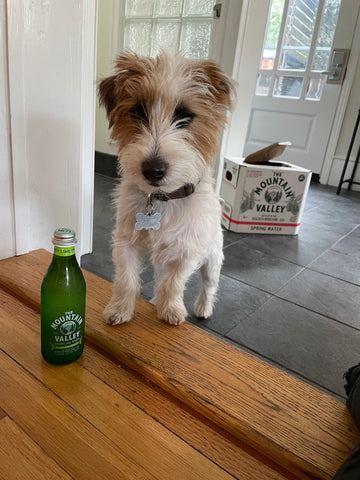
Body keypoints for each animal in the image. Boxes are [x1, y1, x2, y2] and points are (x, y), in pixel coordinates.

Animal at [98, 49, 235, 326]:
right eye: (137, 112)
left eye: (184, 116)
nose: (153, 170)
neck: (163, 199)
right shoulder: (125, 242)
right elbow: (126, 280)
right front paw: (119, 309)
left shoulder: (188, 252)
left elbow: (174, 283)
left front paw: (171, 310)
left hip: (213, 259)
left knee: (208, 286)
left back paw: (203, 308)